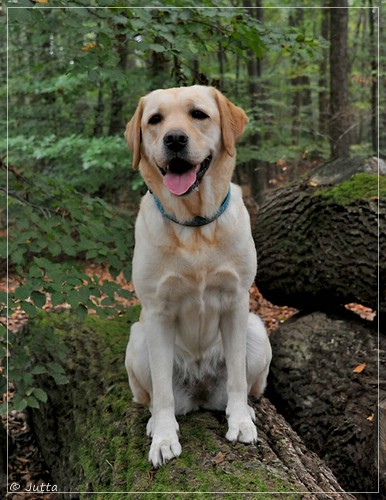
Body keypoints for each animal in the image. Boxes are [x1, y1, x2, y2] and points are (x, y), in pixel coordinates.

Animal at [123, 87, 272, 468]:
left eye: (199, 114)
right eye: (155, 120)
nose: (175, 139)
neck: (195, 229)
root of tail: (201, 392)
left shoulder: (236, 302)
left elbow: (237, 380)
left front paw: (240, 422)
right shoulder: (157, 313)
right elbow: (162, 394)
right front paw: (163, 439)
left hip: (257, 331)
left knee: (246, 386)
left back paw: (244, 411)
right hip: (137, 339)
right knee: (152, 397)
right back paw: (155, 422)